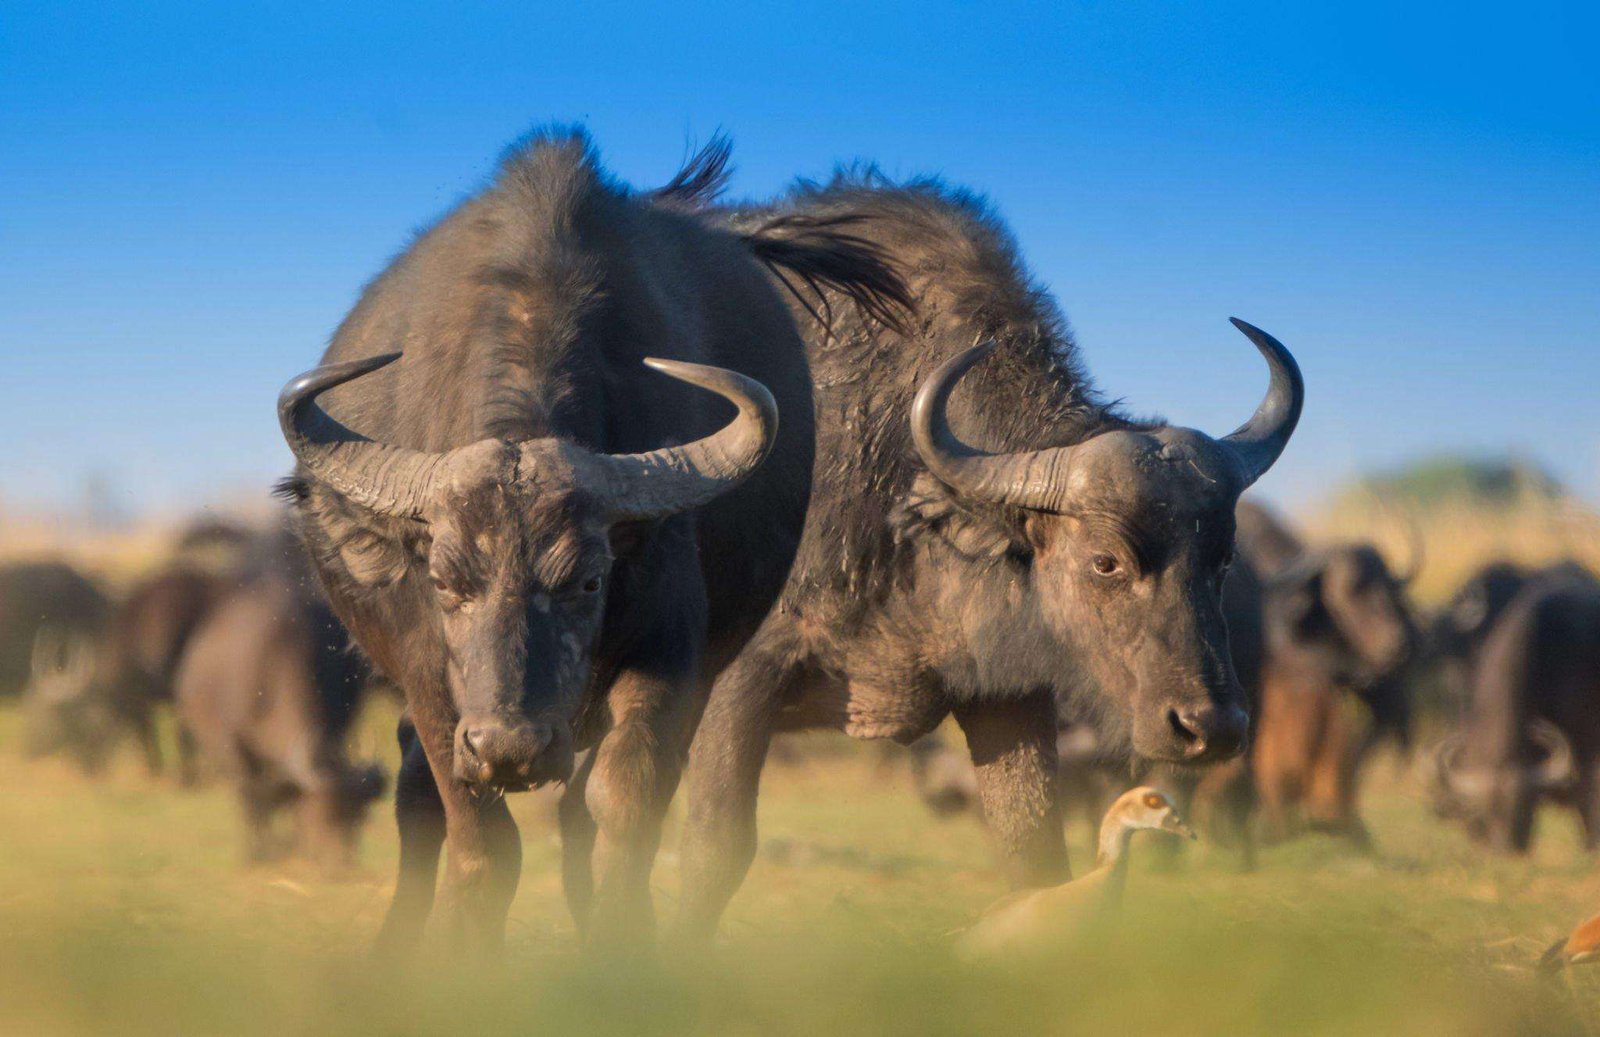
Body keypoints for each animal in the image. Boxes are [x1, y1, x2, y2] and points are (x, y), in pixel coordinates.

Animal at [275, 132, 915, 953]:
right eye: (446, 582)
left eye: (585, 581)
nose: (510, 746)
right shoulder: (430, 680)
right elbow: (482, 836)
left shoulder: (670, 658)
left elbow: (621, 808)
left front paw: (618, 948)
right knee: (418, 791)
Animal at [668, 172, 1305, 940]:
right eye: (1106, 561)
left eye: (1222, 559)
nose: (1212, 728)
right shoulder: (738, 680)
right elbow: (713, 851)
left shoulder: (1007, 694)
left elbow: (1033, 850)